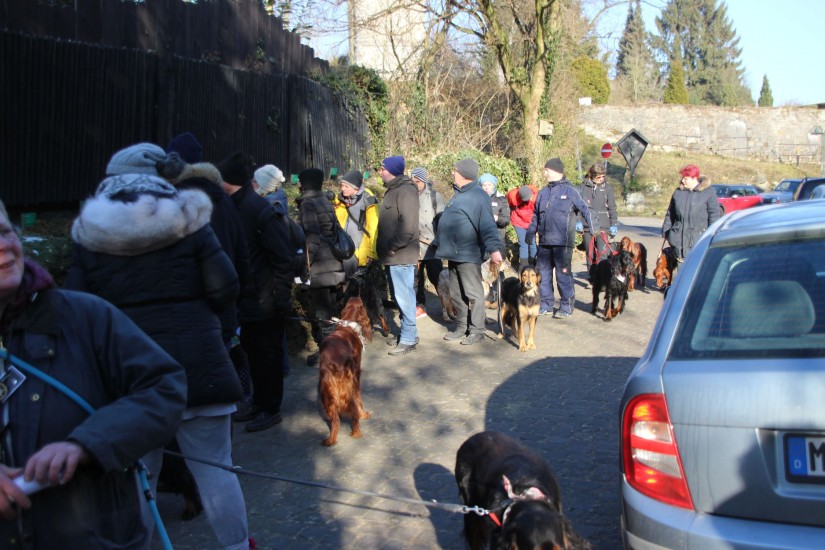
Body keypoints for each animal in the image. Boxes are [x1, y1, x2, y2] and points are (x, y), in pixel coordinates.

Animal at [318, 296, 372, 446]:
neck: (347, 325)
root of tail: (330, 363)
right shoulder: (356, 374)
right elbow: (359, 399)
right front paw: (364, 414)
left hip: (327, 392)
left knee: (335, 420)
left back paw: (331, 439)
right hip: (349, 385)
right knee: (354, 410)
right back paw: (357, 432)